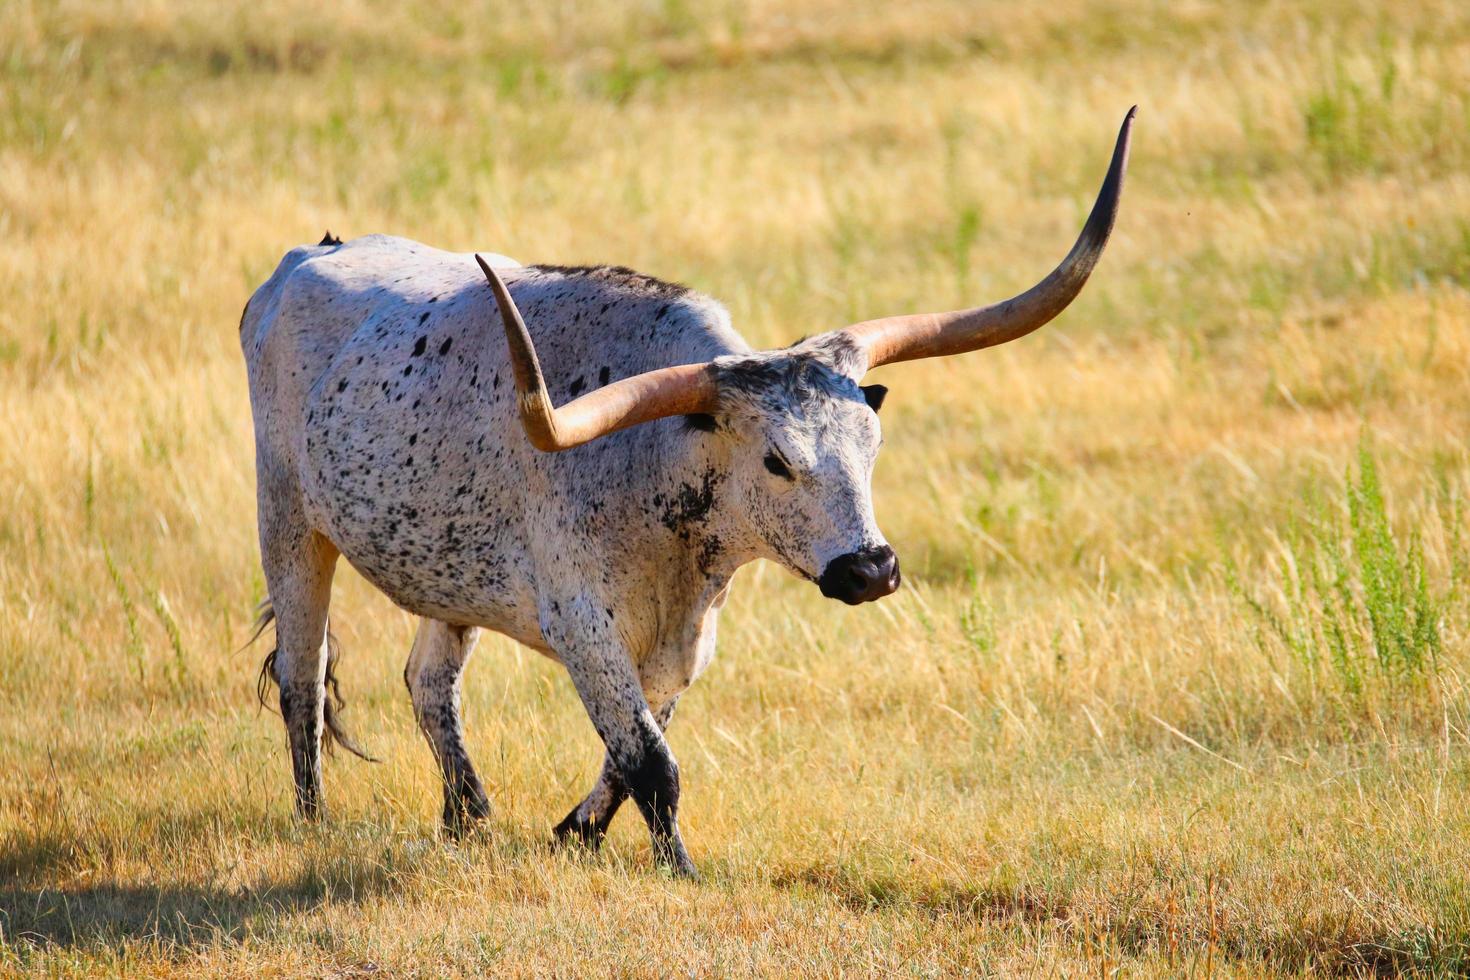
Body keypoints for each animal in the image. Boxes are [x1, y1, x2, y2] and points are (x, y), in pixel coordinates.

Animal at [241, 109, 1134, 881]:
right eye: (776, 461)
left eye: (872, 446)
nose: (872, 570)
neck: (655, 465)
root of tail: (304, 257)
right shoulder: (583, 623)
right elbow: (650, 760)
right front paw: (681, 870)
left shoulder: (687, 637)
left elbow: (632, 749)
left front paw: (574, 833)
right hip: (287, 517)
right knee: (301, 673)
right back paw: (314, 820)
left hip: (446, 573)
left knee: (429, 684)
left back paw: (468, 817)